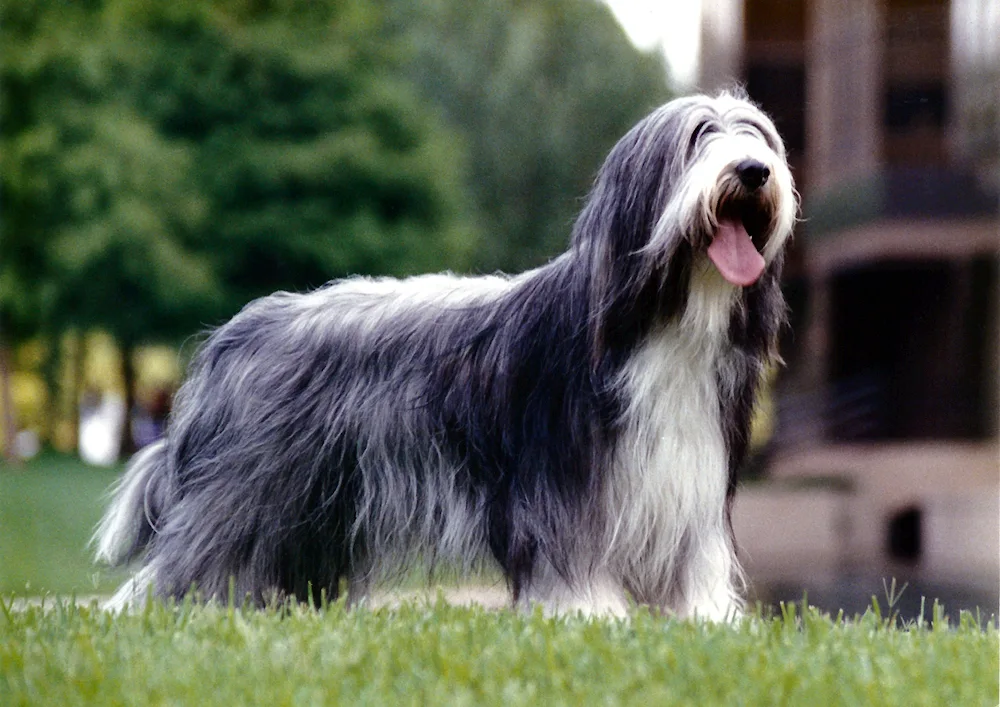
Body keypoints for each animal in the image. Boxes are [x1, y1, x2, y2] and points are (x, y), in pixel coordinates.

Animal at [95, 94, 796, 620]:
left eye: (759, 136)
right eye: (698, 136)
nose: (754, 171)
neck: (663, 324)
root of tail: (239, 332)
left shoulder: (687, 484)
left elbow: (695, 568)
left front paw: (706, 621)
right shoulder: (561, 488)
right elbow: (571, 558)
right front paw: (588, 615)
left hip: (311, 501)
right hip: (247, 488)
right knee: (193, 555)